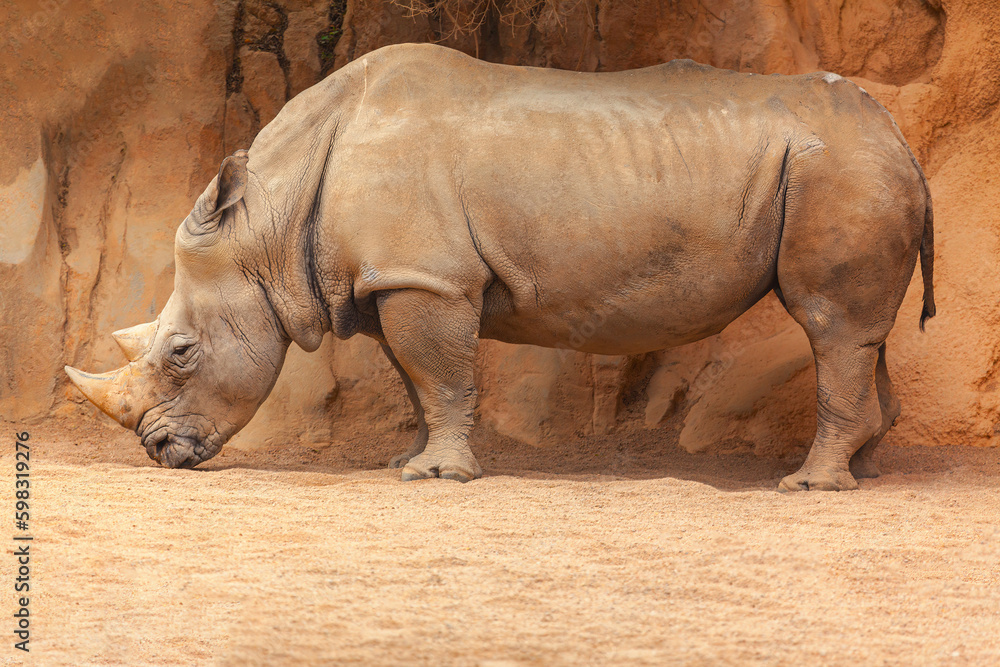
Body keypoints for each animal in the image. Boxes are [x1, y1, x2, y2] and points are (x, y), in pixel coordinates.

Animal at [65, 43, 934, 492]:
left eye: (181, 352)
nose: (159, 452)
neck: (268, 222)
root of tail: (904, 141)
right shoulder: (399, 276)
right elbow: (417, 378)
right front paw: (406, 462)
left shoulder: (425, 275)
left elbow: (442, 374)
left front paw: (439, 477)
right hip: (845, 167)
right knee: (860, 337)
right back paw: (864, 471)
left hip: (837, 169)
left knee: (829, 325)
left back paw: (810, 484)